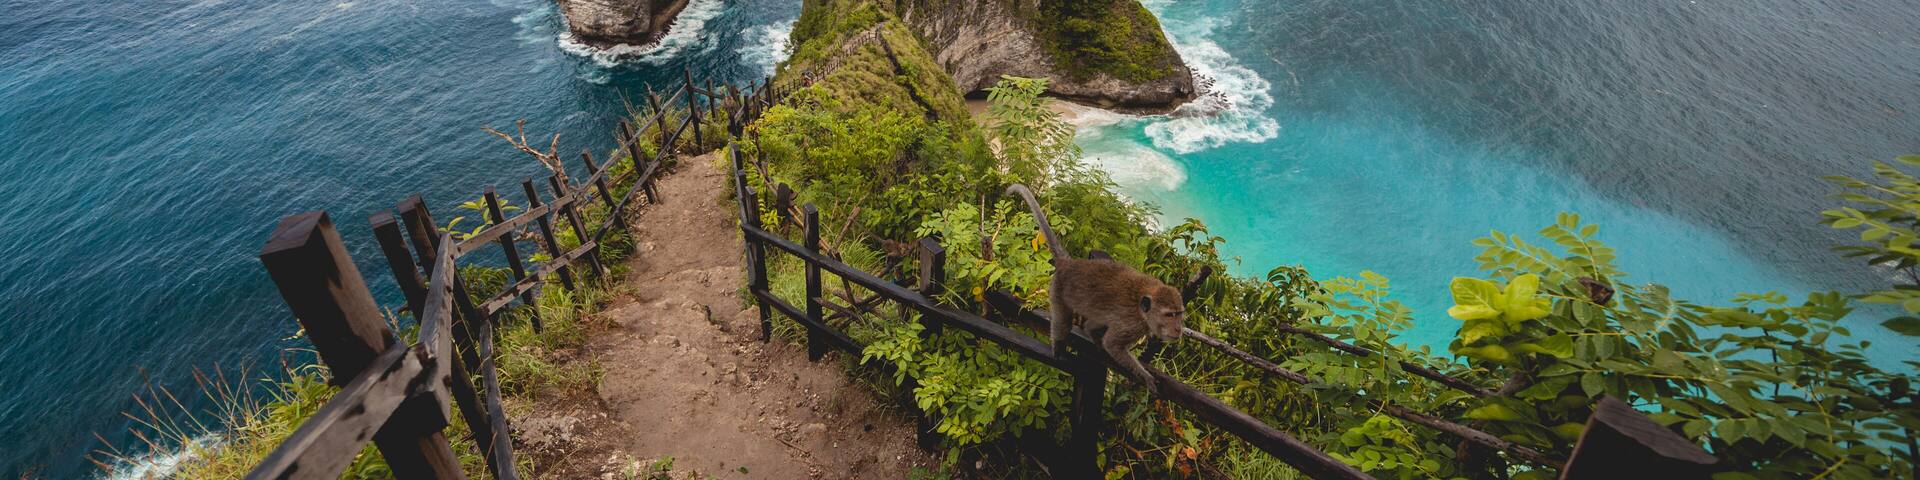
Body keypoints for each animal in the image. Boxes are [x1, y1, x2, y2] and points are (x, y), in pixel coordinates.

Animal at [1007, 184, 1185, 394]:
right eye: (1169, 315)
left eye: (1179, 314)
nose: (1178, 329)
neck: (1143, 309)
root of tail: (1070, 264)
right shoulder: (1131, 324)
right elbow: (1113, 344)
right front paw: (1145, 376)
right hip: (1057, 289)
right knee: (1063, 320)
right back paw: (1058, 347)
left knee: (1094, 321)